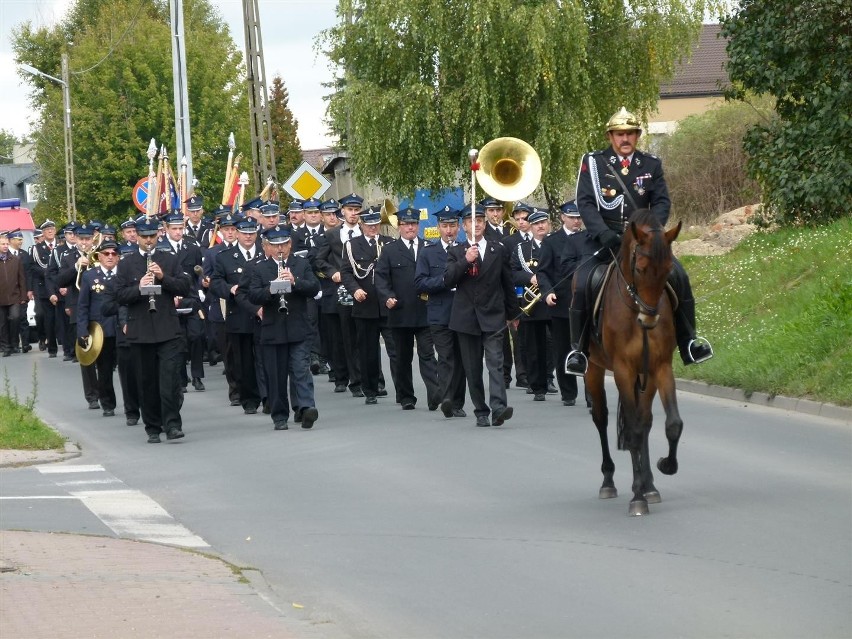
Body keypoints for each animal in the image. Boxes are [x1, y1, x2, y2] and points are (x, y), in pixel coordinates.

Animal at [584, 212, 684, 516]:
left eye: (667, 271)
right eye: (640, 269)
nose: (649, 320)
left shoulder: (660, 367)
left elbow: (670, 423)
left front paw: (665, 467)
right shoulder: (623, 370)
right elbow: (633, 430)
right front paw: (637, 497)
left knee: (645, 419)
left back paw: (649, 485)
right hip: (593, 369)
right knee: (602, 418)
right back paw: (609, 481)